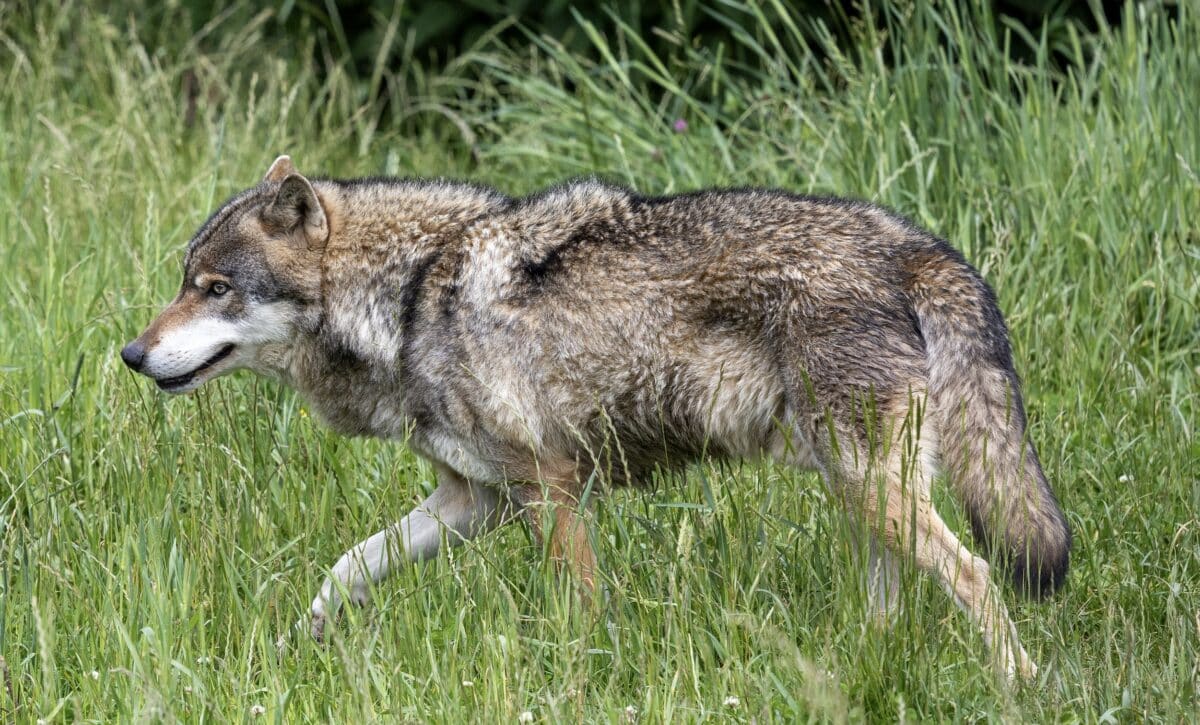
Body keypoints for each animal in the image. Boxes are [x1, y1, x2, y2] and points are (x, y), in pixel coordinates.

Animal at [121, 155, 1070, 680]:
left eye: (214, 288)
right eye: (184, 281)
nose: (131, 354)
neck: (412, 296)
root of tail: (913, 245)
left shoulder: (551, 488)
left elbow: (580, 611)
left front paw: (585, 677)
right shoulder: (472, 500)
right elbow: (345, 567)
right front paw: (300, 641)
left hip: (874, 485)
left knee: (976, 575)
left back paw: (1024, 687)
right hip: (861, 490)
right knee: (895, 602)